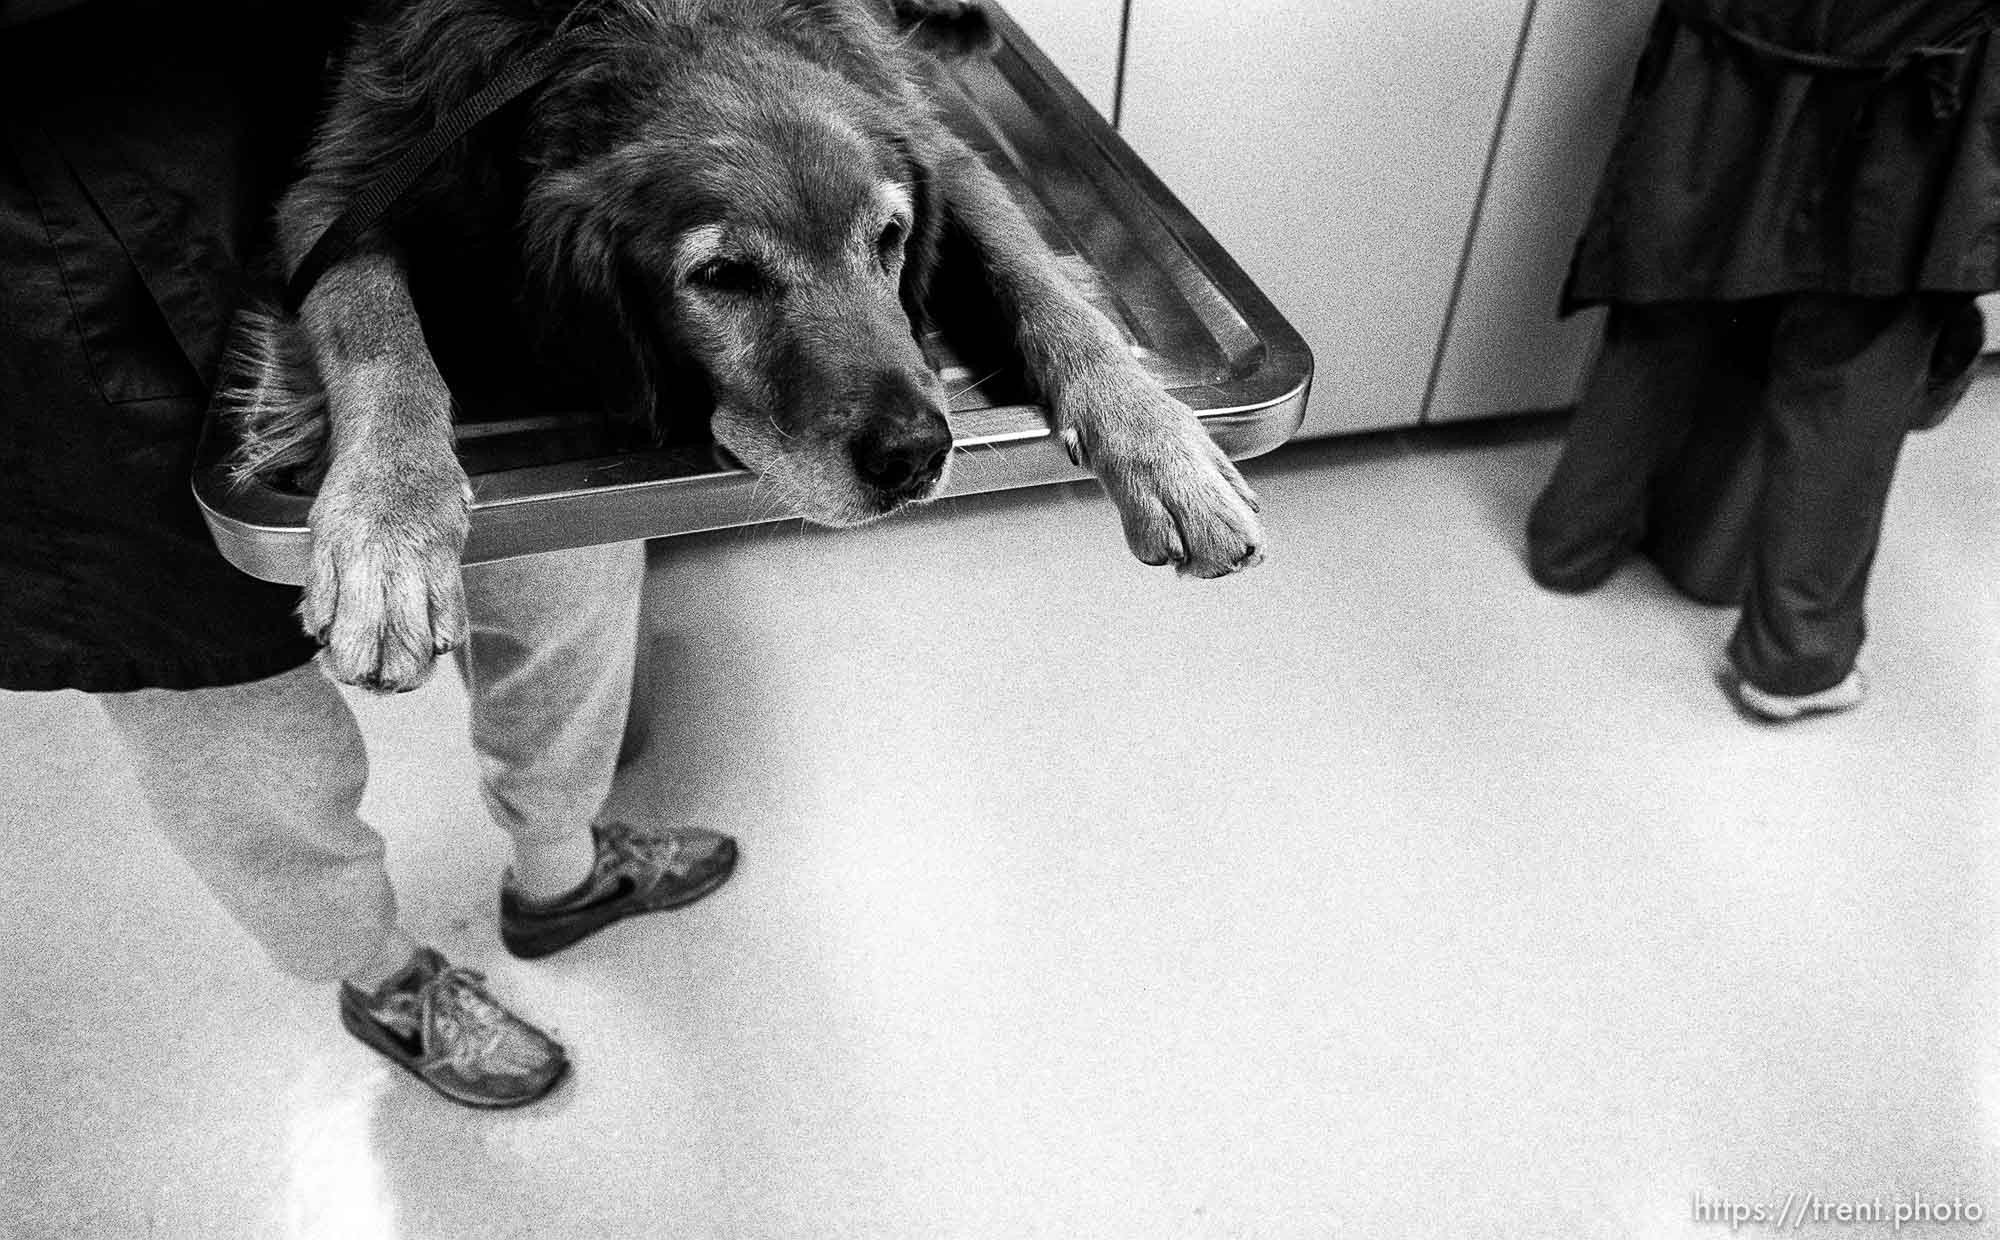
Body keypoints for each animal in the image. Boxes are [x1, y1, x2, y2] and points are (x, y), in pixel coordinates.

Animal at [227, 0, 1264, 692]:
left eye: (891, 238)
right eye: (723, 276)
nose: (916, 455)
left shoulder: (940, 148)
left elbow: (1045, 287)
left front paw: (1161, 444)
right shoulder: (338, 195)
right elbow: (380, 340)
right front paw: (388, 521)